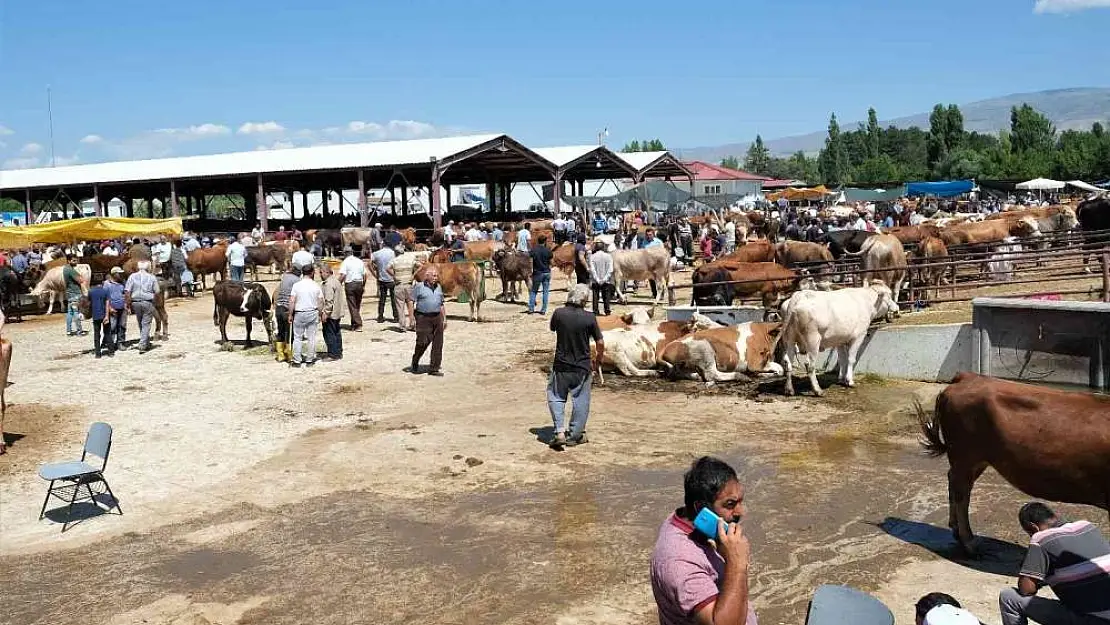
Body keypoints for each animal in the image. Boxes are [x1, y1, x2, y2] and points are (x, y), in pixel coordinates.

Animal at [652, 321, 785, 386]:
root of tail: (668, 346)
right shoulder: (755, 362)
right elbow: (780, 368)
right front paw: (762, 374)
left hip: (686, 365)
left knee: (683, 373)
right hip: (705, 349)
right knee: (712, 374)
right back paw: (742, 376)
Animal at [914, 370, 1110, 552]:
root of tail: (969, 376)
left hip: (975, 460)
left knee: (955, 484)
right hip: (965, 456)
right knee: (961, 494)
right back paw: (969, 542)